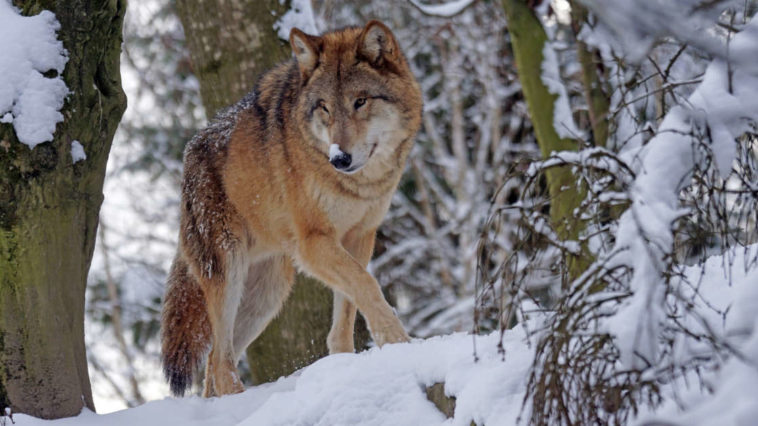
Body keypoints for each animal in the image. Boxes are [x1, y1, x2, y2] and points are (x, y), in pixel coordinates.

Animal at [160, 21, 423, 397]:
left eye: (360, 101)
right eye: (324, 107)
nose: (339, 158)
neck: (358, 185)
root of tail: (189, 155)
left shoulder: (360, 237)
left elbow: (349, 307)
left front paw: (346, 363)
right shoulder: (314, 243)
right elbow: (368, 286)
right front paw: (398, 343)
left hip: (268, 294)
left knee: (214, 362)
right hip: (229, 273)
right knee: (220, 361)